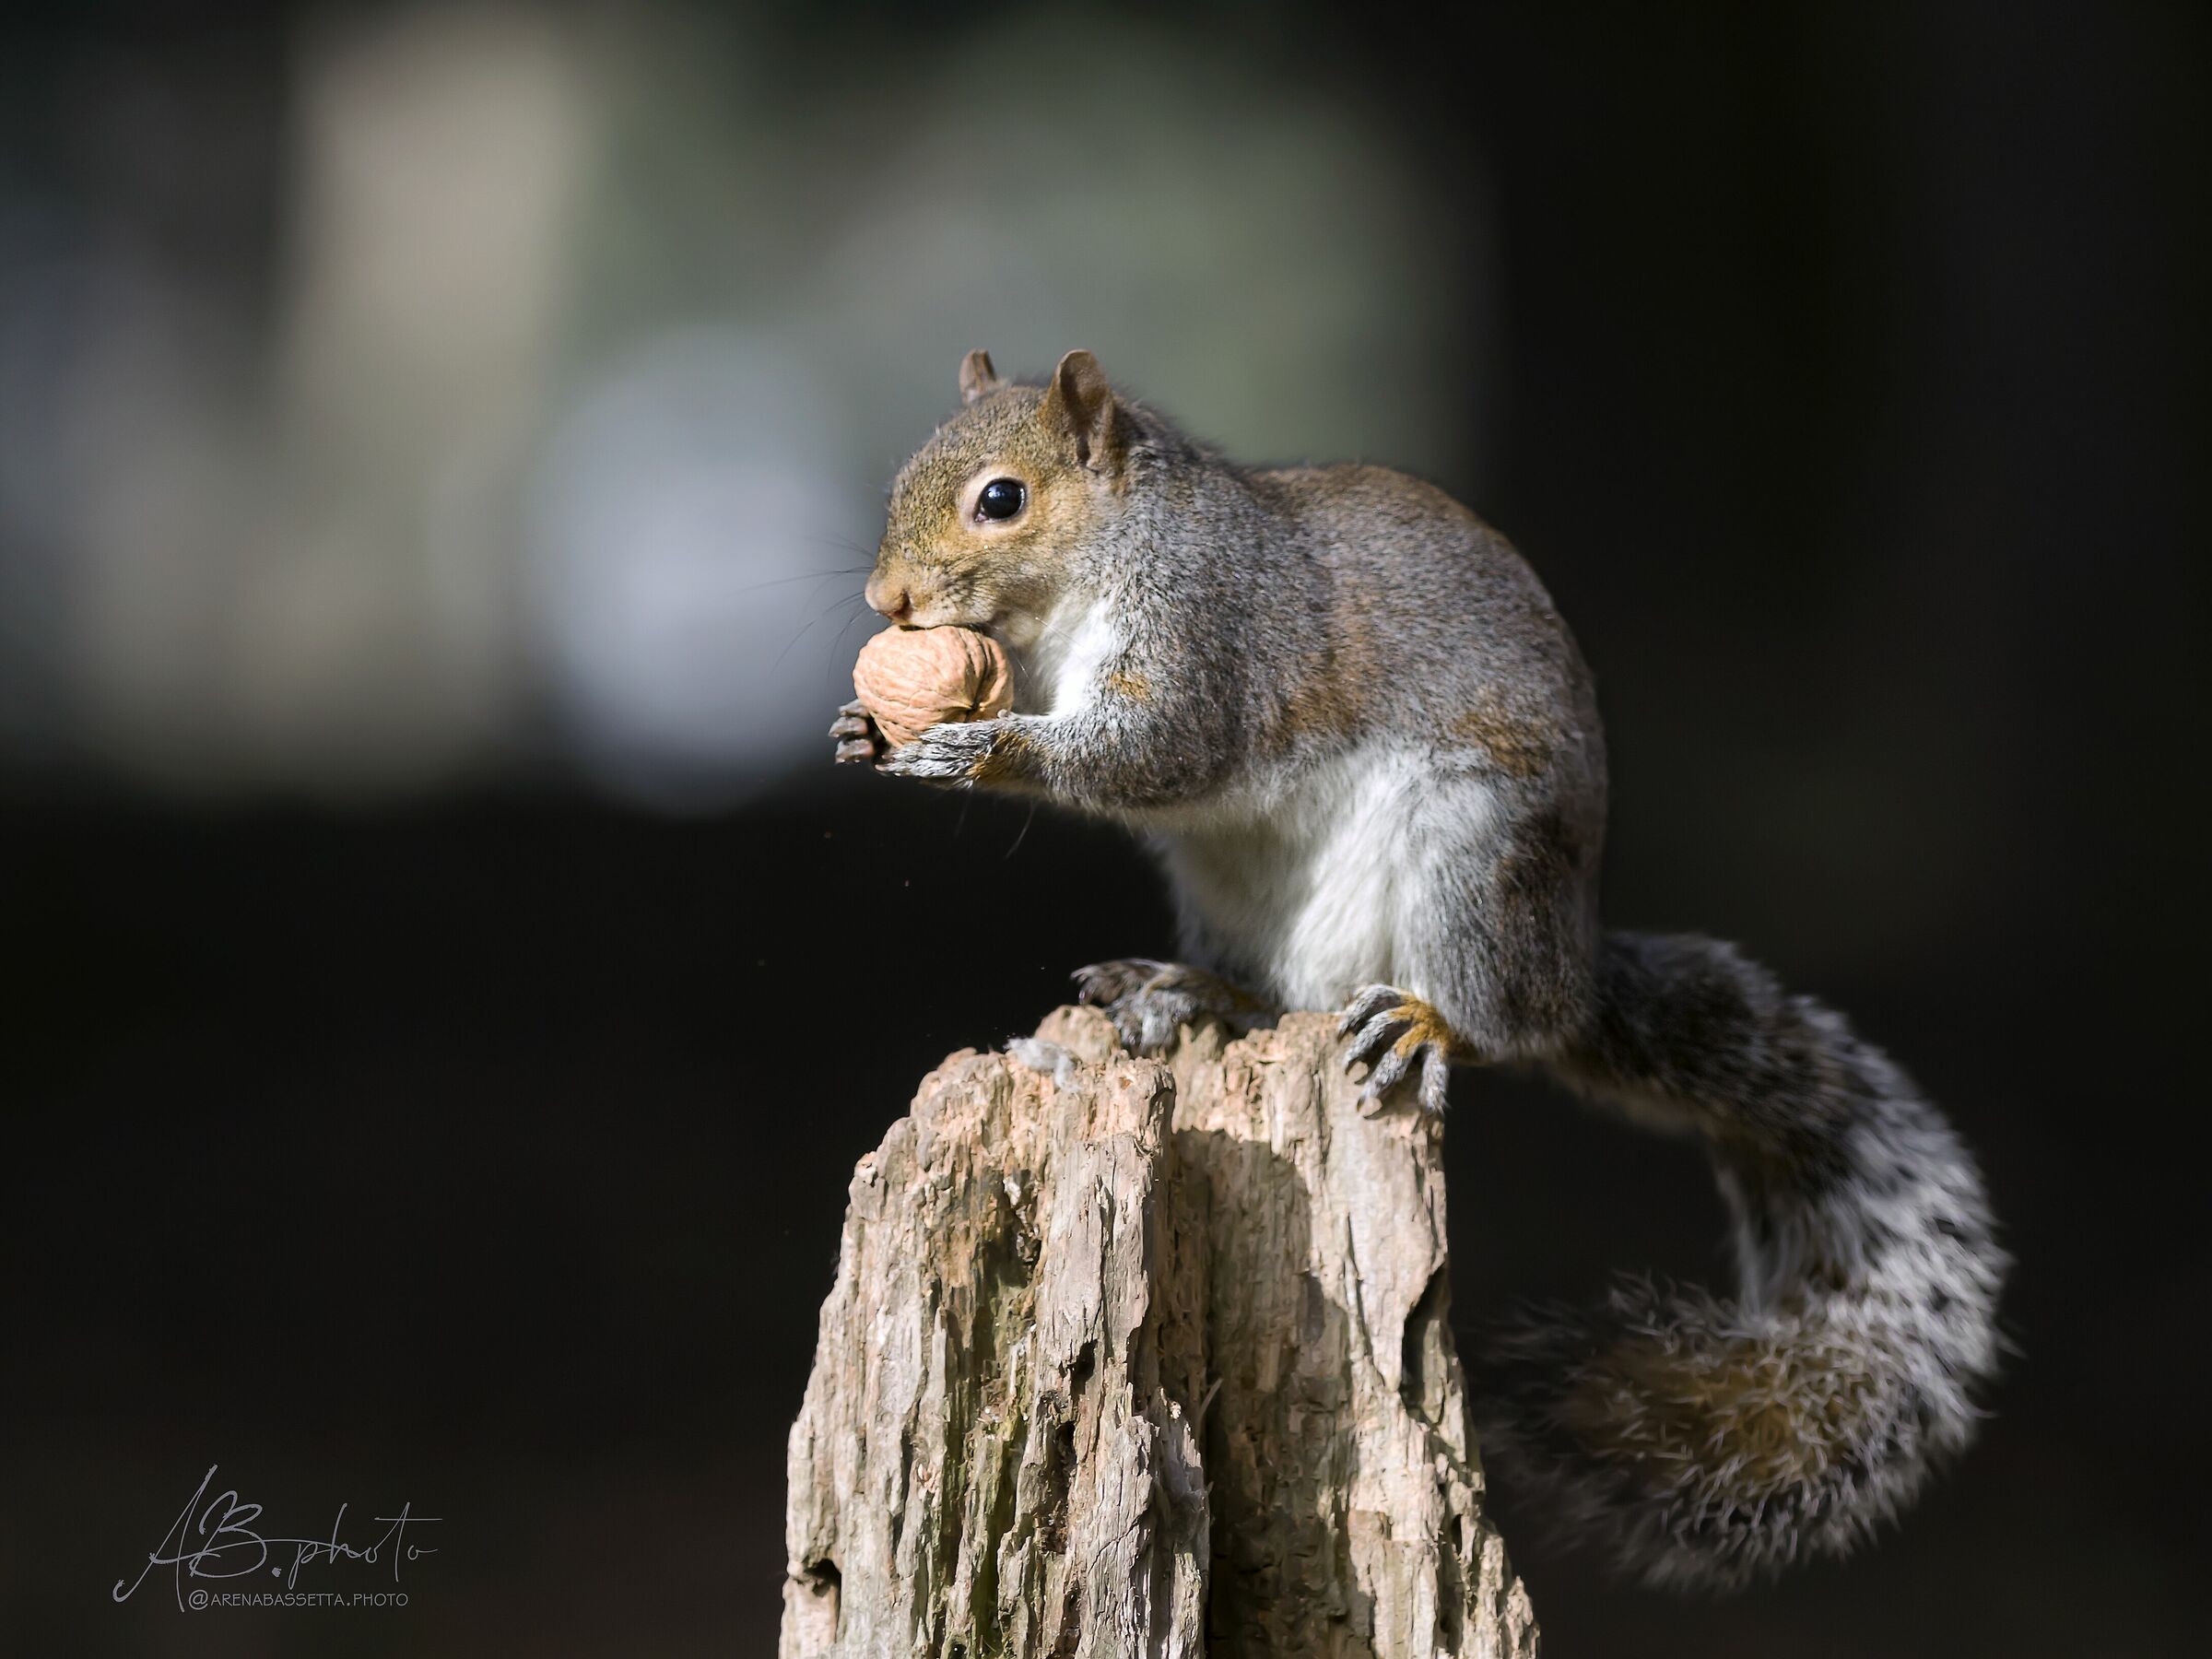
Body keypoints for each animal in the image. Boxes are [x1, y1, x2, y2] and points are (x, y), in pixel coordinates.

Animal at [828, 348, 2008, 1592]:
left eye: (1001, 500)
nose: (887, 605)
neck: (1094, 573)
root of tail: (1571, 967)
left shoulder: (1210, 635)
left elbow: (1156, 754)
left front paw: (980, 746)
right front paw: (872, 725)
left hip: (1472, 863)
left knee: (1504, 1025)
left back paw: (1429, 1025)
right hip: (1234, 897)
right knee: (1281, 998)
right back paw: (1193, 989)